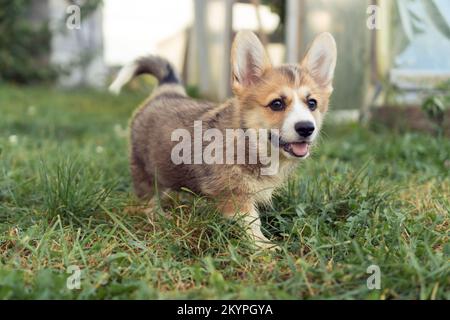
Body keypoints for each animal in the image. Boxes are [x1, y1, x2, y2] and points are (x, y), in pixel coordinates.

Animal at [110, 31, 336, 249]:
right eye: (277, 104)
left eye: (312, 103)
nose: (306, 128)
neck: (253, 143)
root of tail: (166, 91)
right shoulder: (233, 193)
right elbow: (252, 221)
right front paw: (263, 246)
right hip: (143, 168)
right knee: (148, 196)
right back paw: (156, 215)